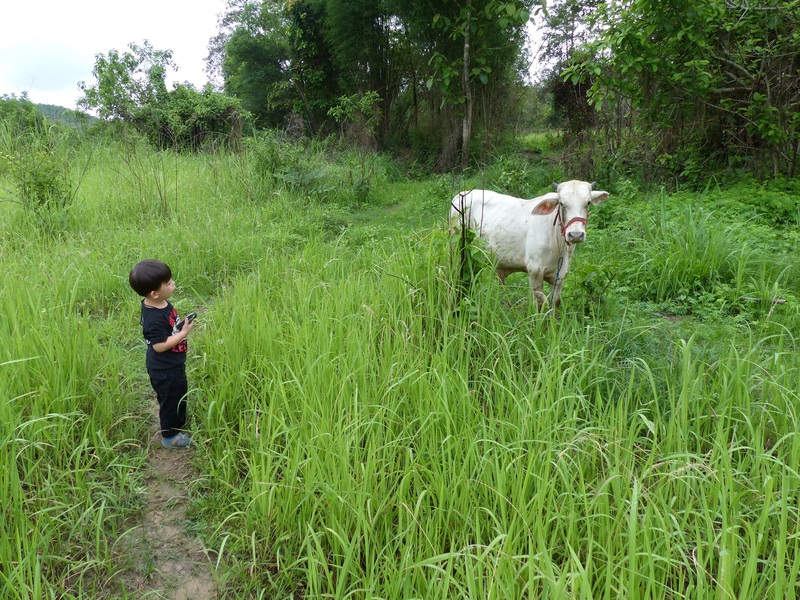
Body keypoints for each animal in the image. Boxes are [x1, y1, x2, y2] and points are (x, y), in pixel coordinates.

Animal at [446, 180, 608, 312]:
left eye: (588, 203)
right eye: (562, 203)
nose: (575, 234)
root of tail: (460, 195)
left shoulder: (559, 276)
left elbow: (554, 303)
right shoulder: (535, 271)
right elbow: (540, 303)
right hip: (457, 249)